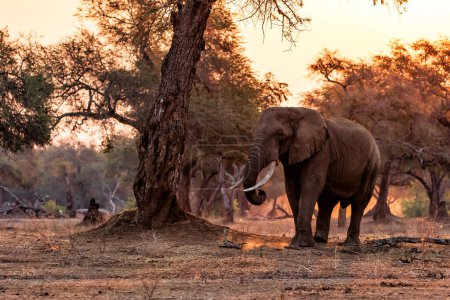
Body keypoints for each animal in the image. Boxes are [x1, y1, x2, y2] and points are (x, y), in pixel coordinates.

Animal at [237, 106, 378, 247]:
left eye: (279, 134)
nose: (261, 192)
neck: (293, 110)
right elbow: (291, 189)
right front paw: (295, 242)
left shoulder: (322, 150)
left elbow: (311, 184)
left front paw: (303, 244)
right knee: (326, 202)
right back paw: (320, 240)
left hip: (372, 166)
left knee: (359, 202)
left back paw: (350, 243)